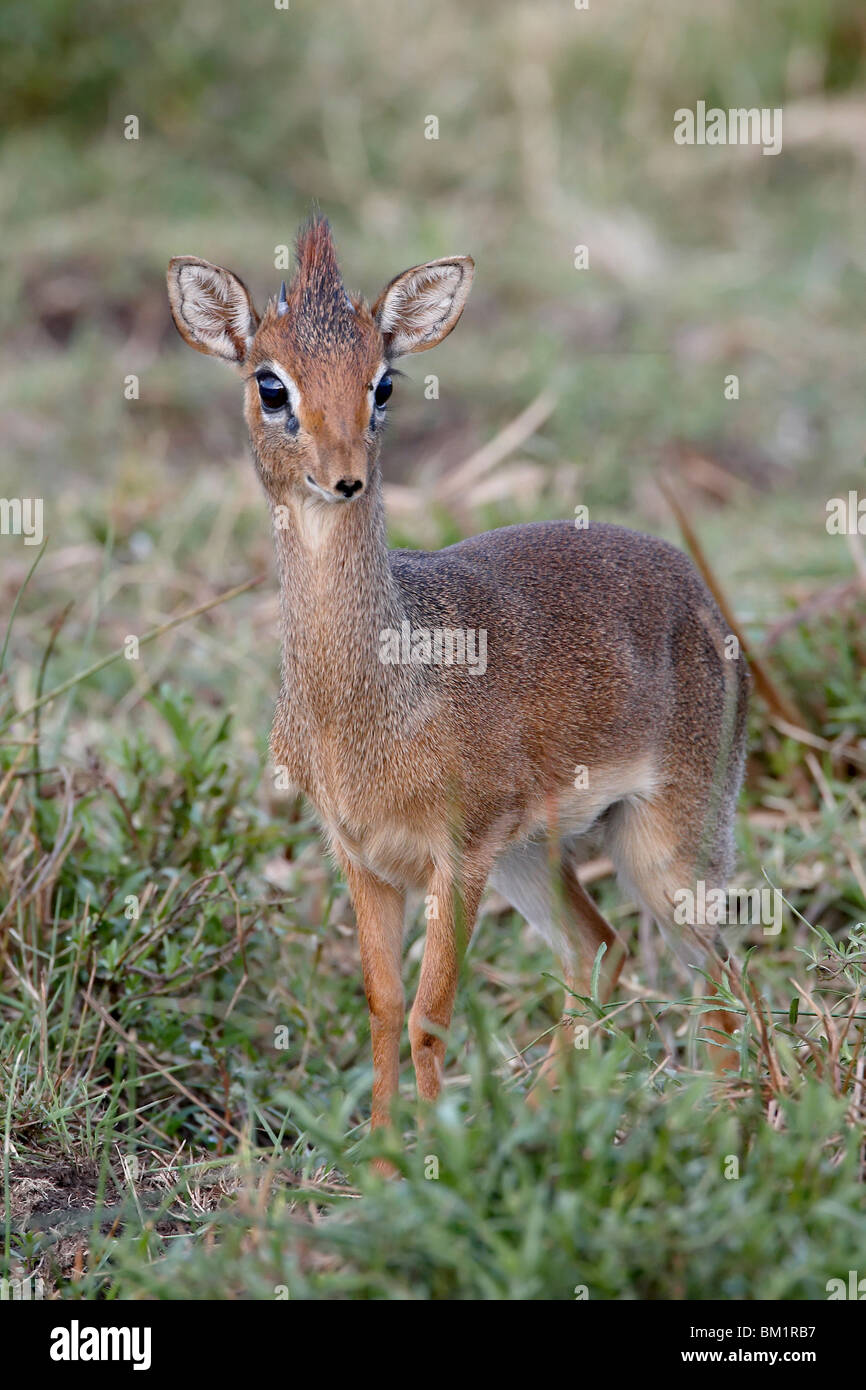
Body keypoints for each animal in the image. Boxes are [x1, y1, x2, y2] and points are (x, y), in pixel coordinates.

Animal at [166, 216, 750, 1128]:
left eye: (383, 383)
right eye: (270, 384)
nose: (344, 477)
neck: (362, 708)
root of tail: (704, 599)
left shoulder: (458, 856)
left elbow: (428, 1014)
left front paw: (436, 1146)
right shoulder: (364, 859)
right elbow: (381, 1006)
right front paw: (380, 1145)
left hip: (670, 846)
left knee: (717, 974)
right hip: (537, 856)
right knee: (601, 948)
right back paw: (544, 1117)